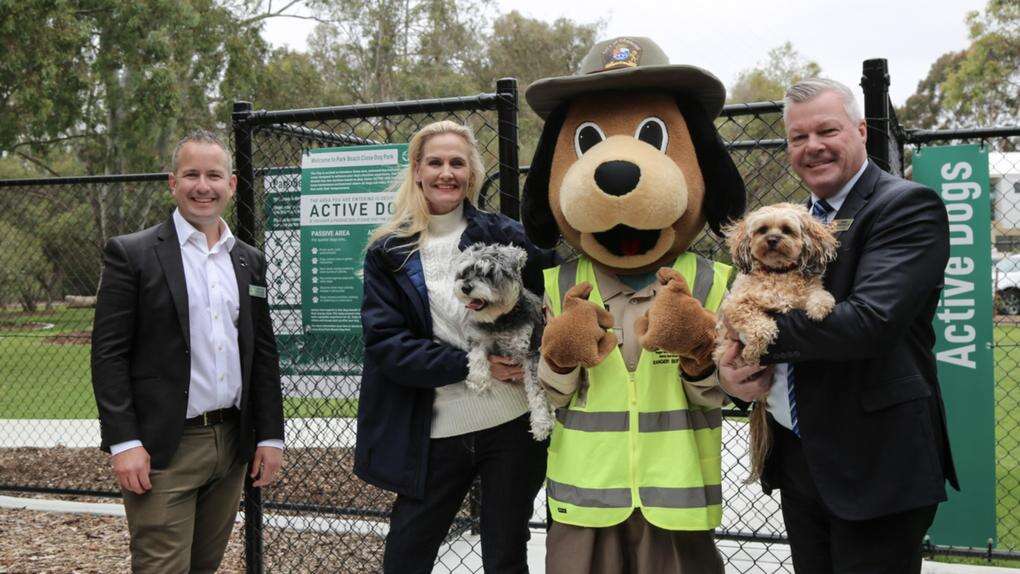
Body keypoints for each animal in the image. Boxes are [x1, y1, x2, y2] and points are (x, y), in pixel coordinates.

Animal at [452, 242, 554, 440]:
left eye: (488, 273)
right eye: (465, 271)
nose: (465, 287)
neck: (500, 320)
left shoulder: (530, 352)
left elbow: (537, 392)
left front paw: (540, 423)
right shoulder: (479, 338)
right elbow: (476, 357)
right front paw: (478, 381)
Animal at [718, 201, 836, 481]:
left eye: (786, 230)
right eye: (762, 230)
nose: (772, 239)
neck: (778, 272)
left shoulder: (804, 292)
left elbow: (817, 293)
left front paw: (820, 306)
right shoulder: (736, 306)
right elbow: (760, 325)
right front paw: (755, 346)